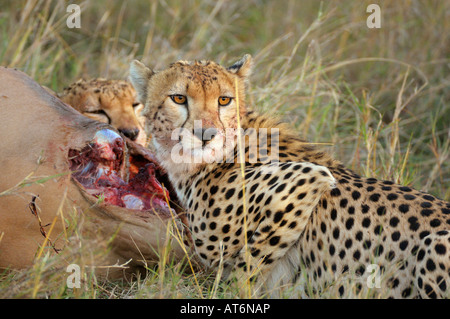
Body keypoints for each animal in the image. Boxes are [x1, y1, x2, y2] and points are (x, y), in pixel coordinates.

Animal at [128, 53, 448, 298]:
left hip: (434, 244)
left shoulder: (307, 180)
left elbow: (246, 268)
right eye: (178, 98)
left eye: (224, 100)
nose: (206, 135)